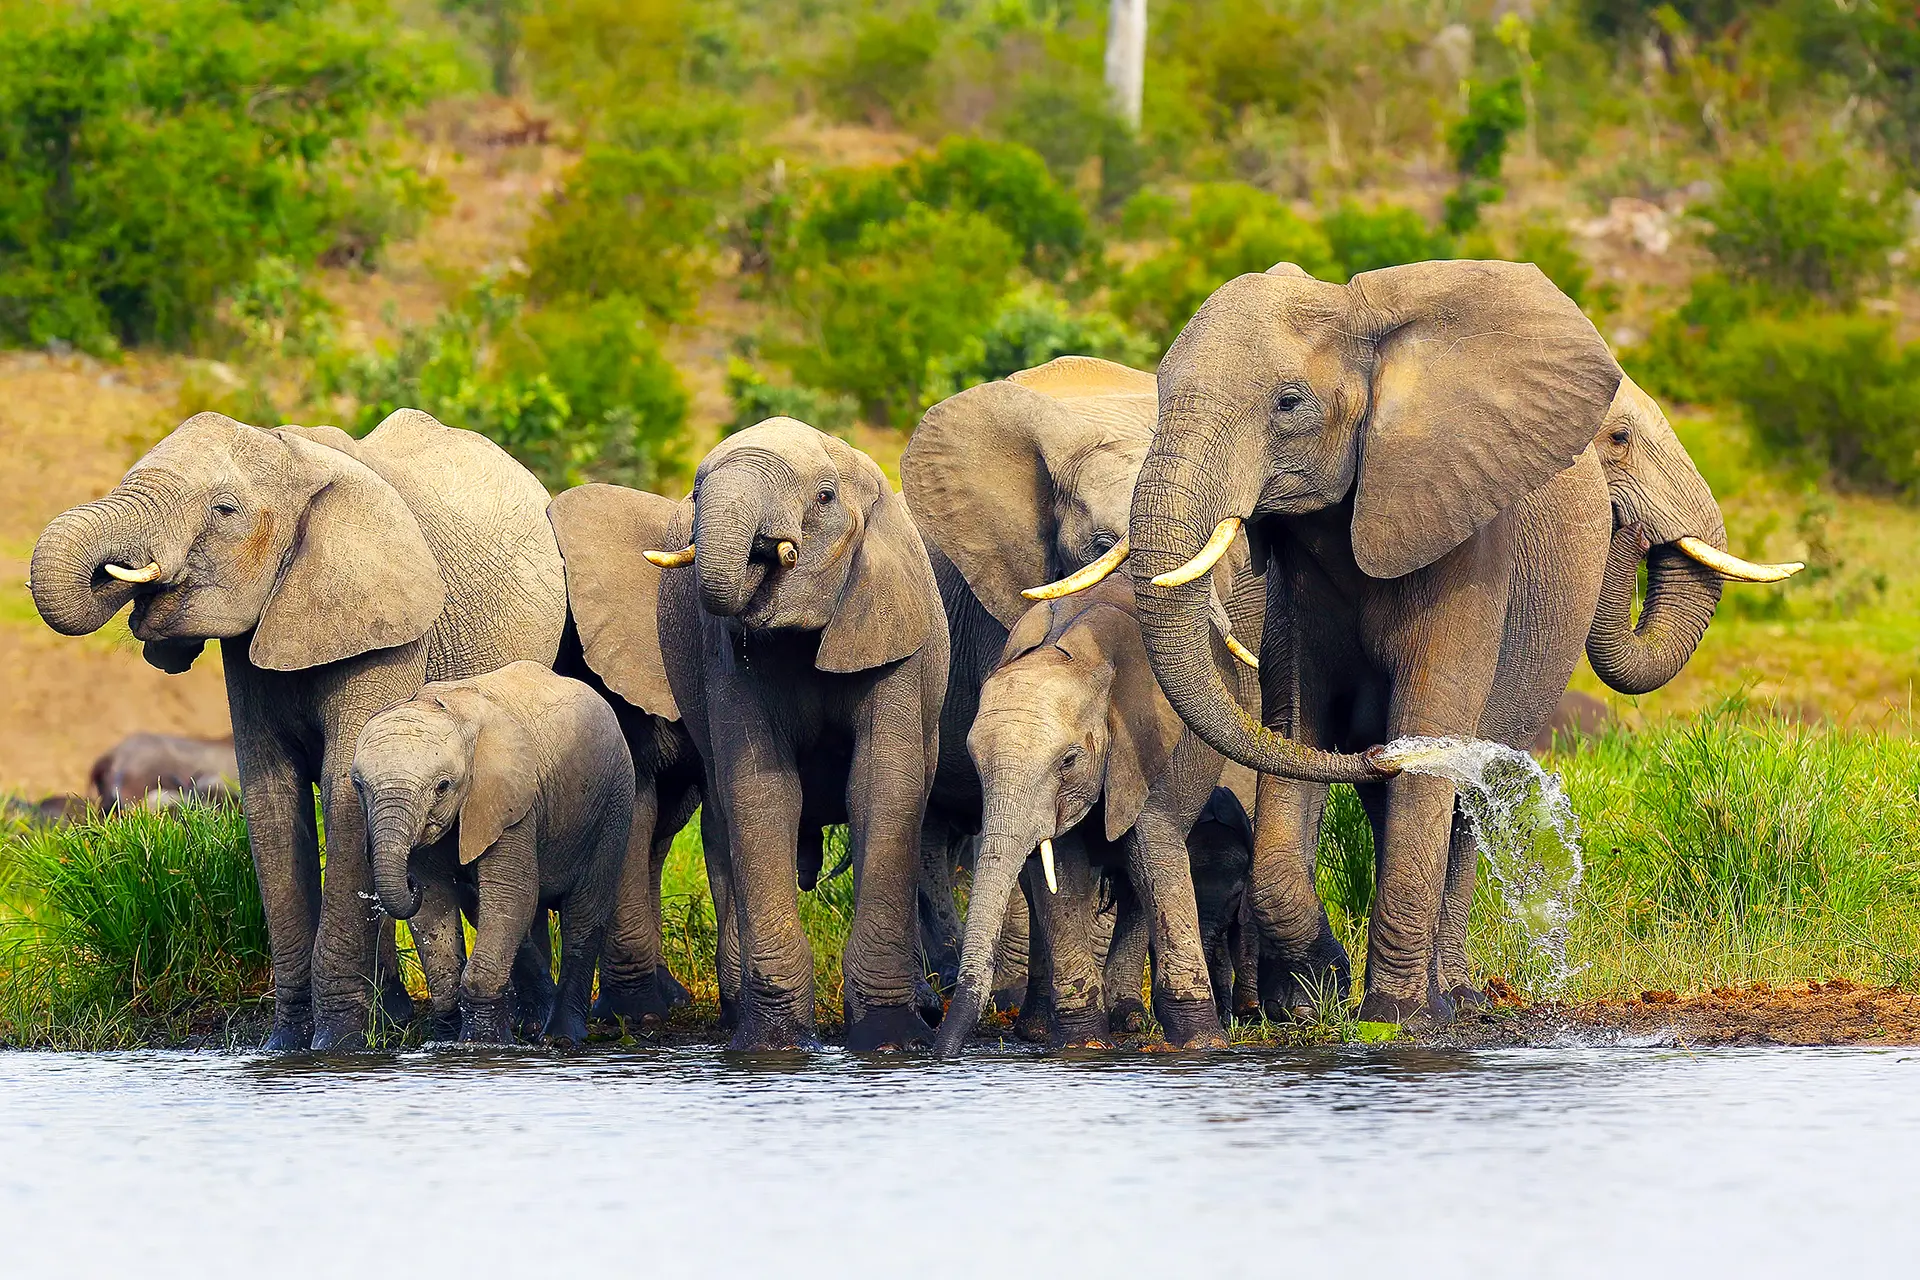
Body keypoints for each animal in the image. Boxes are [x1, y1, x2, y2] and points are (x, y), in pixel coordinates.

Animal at [568, 418, 949, 1051]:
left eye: (825, 496)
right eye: (698, 490)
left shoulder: (891, 635)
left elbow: (882, 788)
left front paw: (889, 1040)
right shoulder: (728, 656)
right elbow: (764, 792)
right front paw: (774, 1045)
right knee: (722, 819)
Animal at [935, 579, 1245, 1054]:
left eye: (1068, 760)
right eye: (974, 762)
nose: (939, 1055)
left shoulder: (1144, 747)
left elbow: (1153, 854)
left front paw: (1203, 1044)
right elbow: (1060, 872)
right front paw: (1083, 1044)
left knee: (1137, 880)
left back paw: (1129, 1020)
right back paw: (1042, 1028)